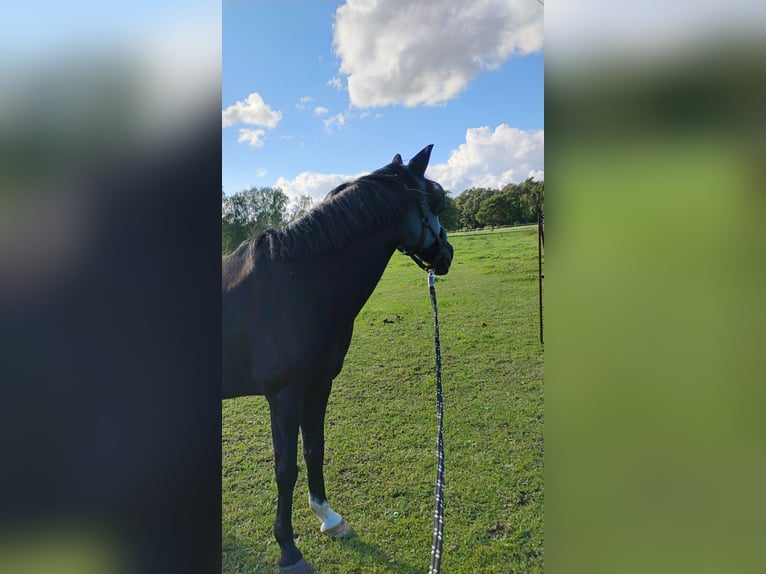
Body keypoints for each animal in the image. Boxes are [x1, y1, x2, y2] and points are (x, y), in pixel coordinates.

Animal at [222, 145, 454, 572]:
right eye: (437, 199)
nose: (446, 254)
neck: (295, 285)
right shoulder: (283, 397)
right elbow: (285, 468)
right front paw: (288, 548)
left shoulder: (318, 386)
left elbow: (314, 449)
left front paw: (328, 517)